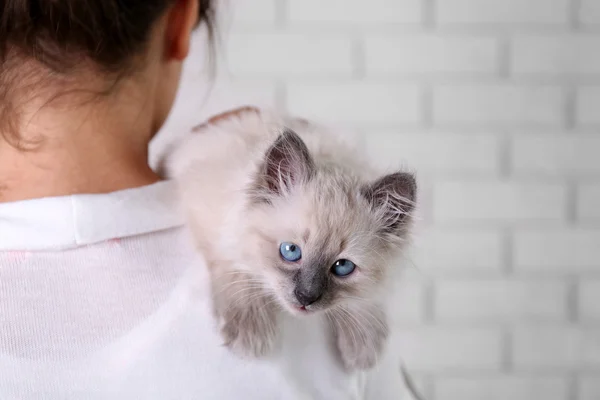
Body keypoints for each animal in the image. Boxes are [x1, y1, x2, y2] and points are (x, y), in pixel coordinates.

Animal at [166, 110, 414, 372]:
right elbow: (236, 265)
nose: (305, 298)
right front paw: (250, 333)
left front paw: (364, 346)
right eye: (291, 251)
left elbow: (366, 300)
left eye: (342, 267)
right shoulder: (205, 211)